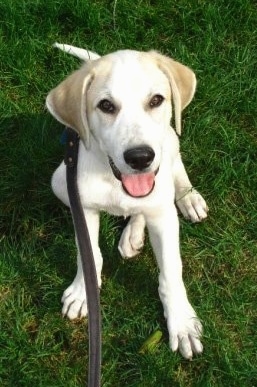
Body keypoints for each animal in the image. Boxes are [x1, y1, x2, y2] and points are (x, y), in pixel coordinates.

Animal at [46, 44, 208, 360]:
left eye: (156, 100)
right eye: (106, 106)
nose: (140, 157)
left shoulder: (163, 217)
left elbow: (171, 271)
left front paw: (182, 322)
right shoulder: (83, 207)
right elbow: (89, 253)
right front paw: (83, 291)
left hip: (169, 145)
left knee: (173, 168)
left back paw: (187, 197)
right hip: (60, 181)